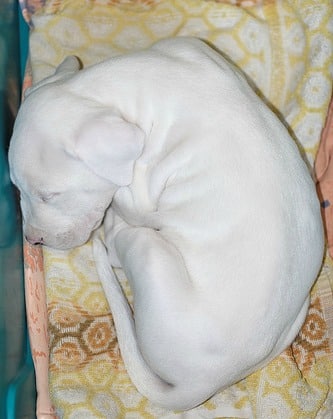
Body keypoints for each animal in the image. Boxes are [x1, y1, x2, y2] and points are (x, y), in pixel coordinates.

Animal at [9, 37, 322, 412]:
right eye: (18, 189)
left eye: (49, 195)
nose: (31, 240)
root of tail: (205, 383)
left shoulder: (140, 194)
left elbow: (127, 202)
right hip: (295, 318)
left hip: (148, 251)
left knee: (123, 247)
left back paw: (113, 235)